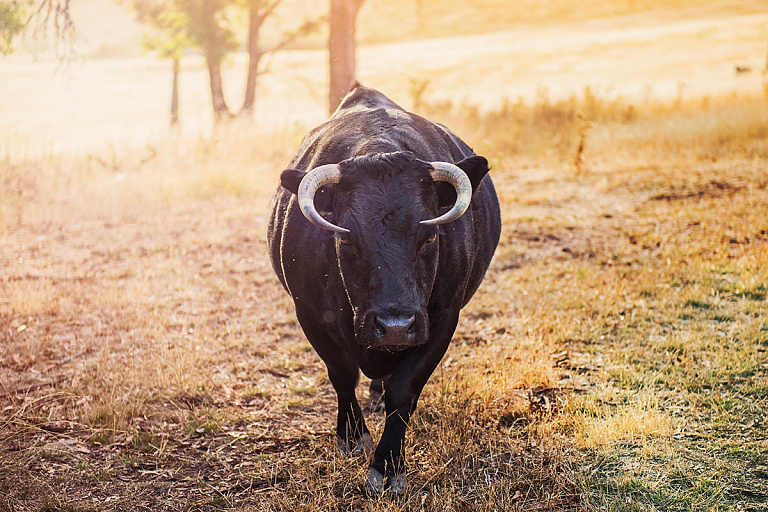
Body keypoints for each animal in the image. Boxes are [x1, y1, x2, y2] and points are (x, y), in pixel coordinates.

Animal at [268, 86, 500, 494]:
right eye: (347, 240)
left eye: (430, 237)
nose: (394, 325)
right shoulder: (309, 314)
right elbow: (342, 374)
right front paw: (352, 436)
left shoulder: (442, 318)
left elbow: (403, 389)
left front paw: (388, 465)